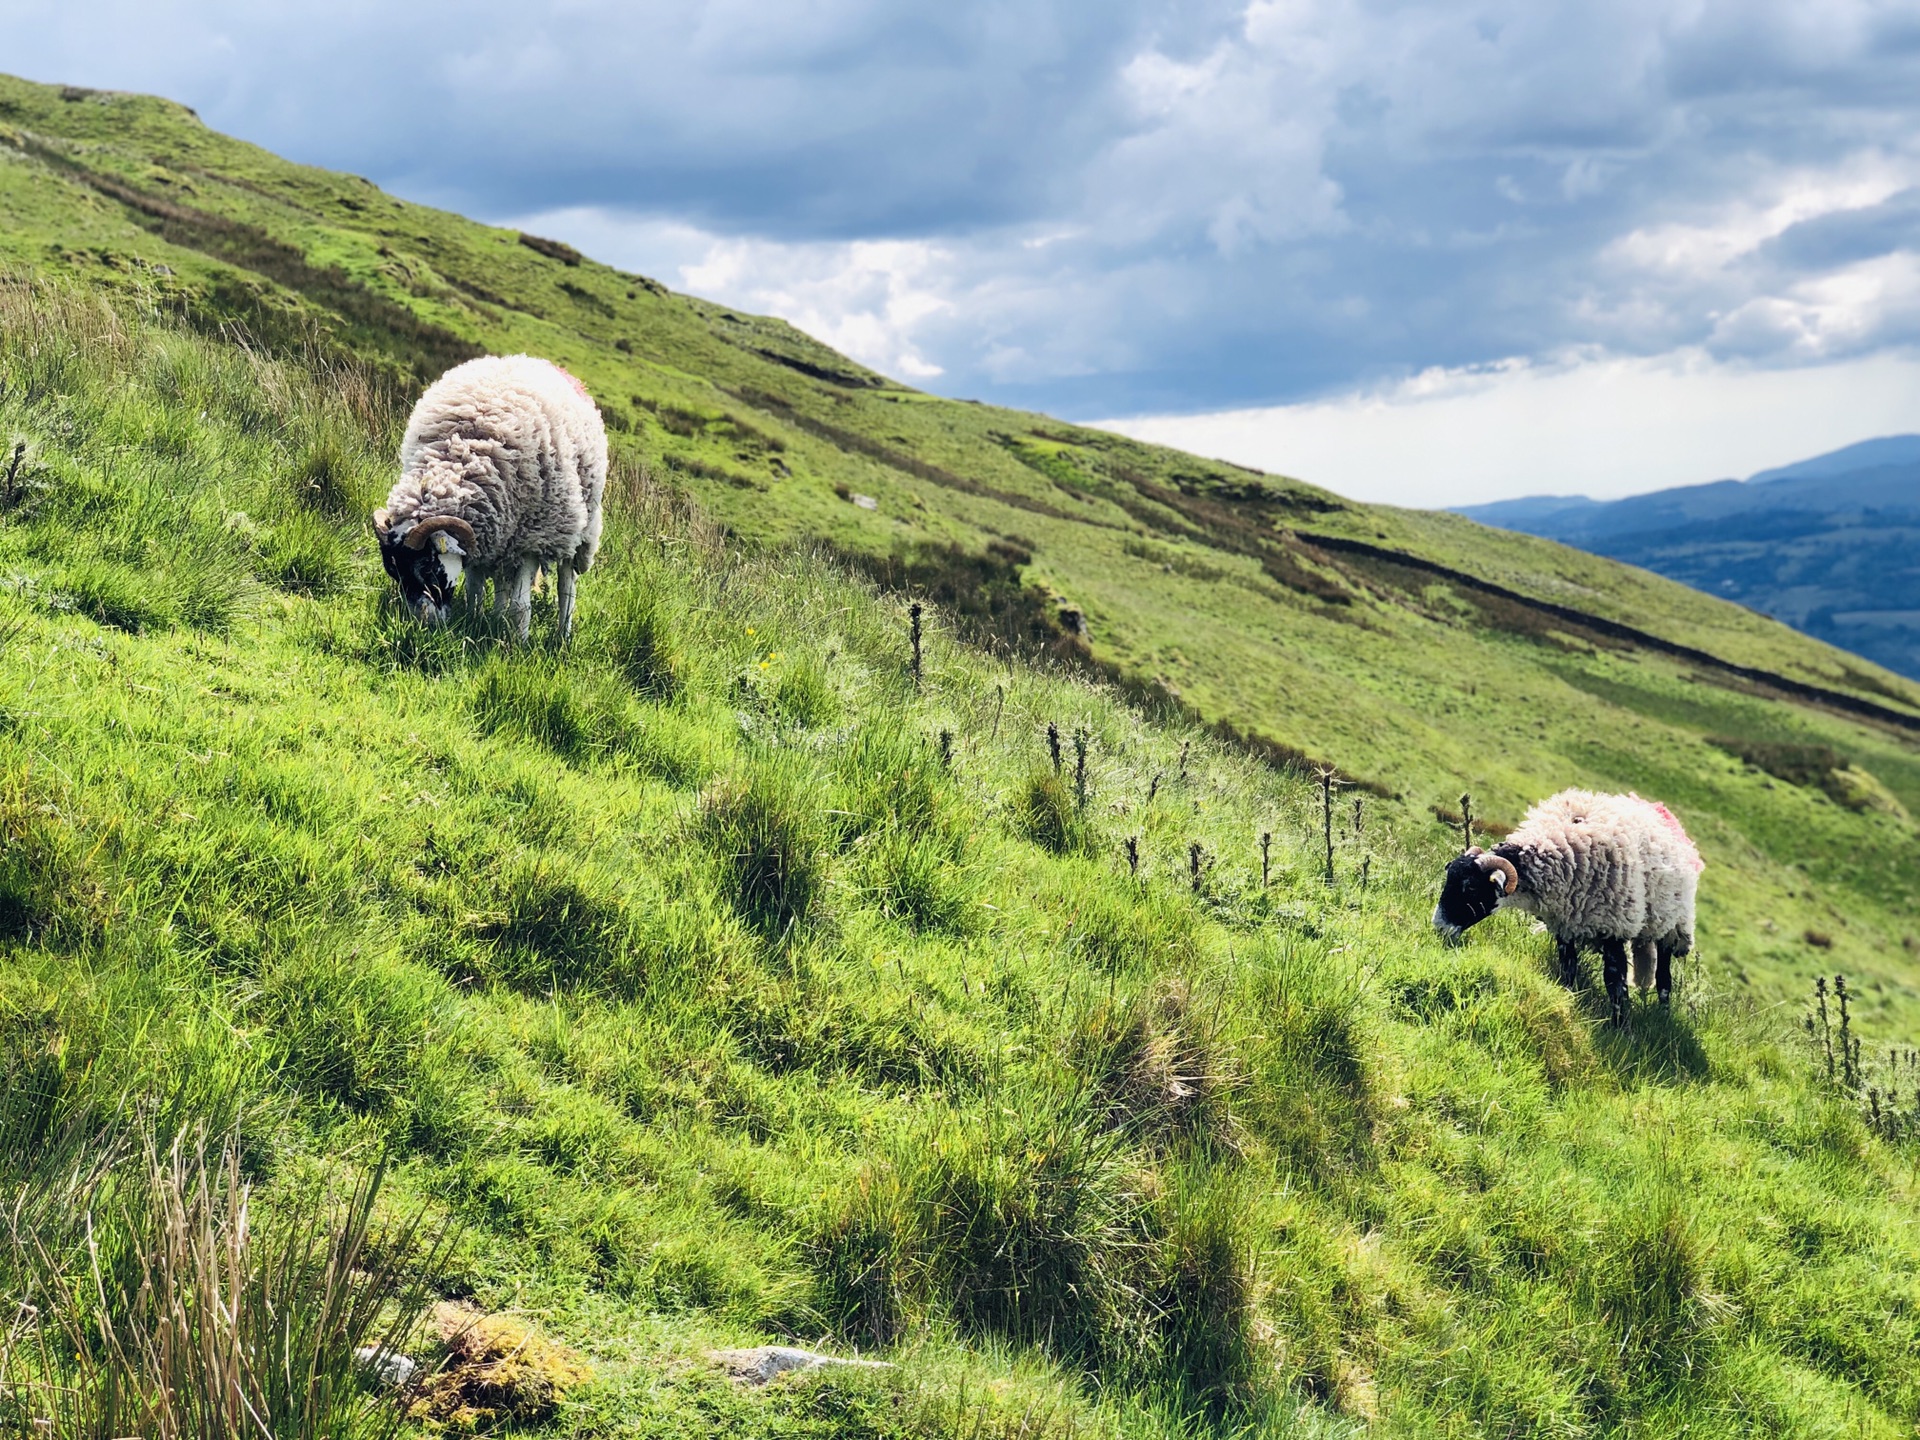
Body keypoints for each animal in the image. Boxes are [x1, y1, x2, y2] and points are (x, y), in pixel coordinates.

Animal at [374, 353, 606, 641]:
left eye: (427, 567)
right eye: (394, 571)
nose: (423, 623)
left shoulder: (531, 540)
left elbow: (520, 606)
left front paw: (518, 642)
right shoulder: (483, 536)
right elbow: (475, 590)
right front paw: (475, 620)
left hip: (575, 527)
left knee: (567, 584)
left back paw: (563, 635)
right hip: (504, 542)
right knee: (501, 581)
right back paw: (496, 617)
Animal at [1436, 791, 1704, 1029]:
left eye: (1470, 887)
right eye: (1448, 875)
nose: (1439, 927)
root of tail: (1659, 810)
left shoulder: (1613, 927)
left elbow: (1615, 983)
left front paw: (1621, 1029)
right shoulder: (1564, 926)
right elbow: (1568, 968)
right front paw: (1566, 999)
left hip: (1671, 925)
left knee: (1664, 980)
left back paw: (1663, 1015)